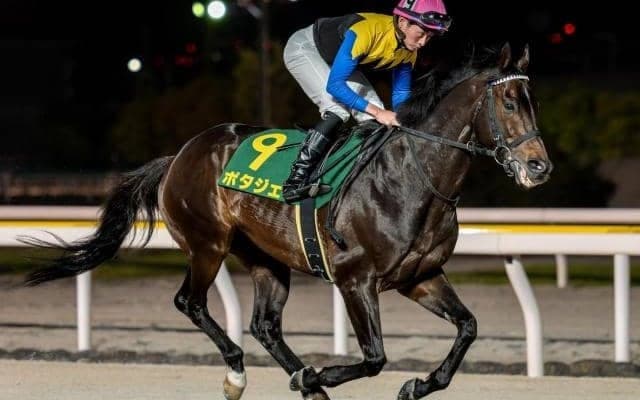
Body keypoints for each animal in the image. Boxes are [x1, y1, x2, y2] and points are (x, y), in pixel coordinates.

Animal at [22, 42, 551, 400]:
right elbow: (374, 357)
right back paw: (241, 373)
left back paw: (300, 379)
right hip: (208, 244)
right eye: (509, 103)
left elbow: (468, 328)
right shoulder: (356, 280)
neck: (411, 176)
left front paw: (418, 384)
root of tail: (179, 155)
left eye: (534, 103)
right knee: (190, 302)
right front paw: (319, 373)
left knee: (265, 325)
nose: (539, 166)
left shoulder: (419, 276)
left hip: (266, 258)